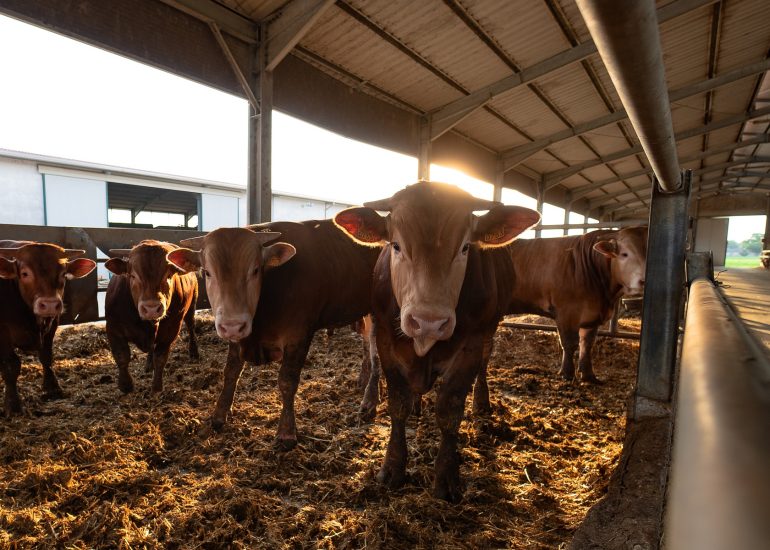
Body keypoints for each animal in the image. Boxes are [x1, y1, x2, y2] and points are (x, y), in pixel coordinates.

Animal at [0, 239, 95, 416]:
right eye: (25, 273)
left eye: (63, 274)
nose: (50, 304)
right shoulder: (3, 333)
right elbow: (10, 366)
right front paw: (13, 404)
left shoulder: (52, 324)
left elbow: (46, 356)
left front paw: (52, 387)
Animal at [105, 243, 201, 396]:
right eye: (132, 276)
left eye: (169, 275)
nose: (151, 308)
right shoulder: (113, 327)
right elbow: (122, 356)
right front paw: (126, 385)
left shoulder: (171, 329)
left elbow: (160, 357)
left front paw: (156, 387)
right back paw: (148, 365)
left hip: (192, 305)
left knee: (191, 326)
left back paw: (194, 351)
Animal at [170, 222, 382, 450]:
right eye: (208, 272)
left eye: (255, 270)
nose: (232, 325)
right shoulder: (240, 336)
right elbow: (230, 373)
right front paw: (219, 415)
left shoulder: (298, 336)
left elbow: (287, 381)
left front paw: (286, 432)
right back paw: (364, 381)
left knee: (376, 354)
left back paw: (370, 402)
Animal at [332, 183, 536, 502]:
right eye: (396, 245)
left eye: (465, 248)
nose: (428, 321)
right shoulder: (388, 340)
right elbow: (398, 404)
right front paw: (392, 467)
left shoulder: (470, 346)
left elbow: (449, 412)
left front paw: (446, 477)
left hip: (491, 328)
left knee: (485, 363)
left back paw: (482, 401)